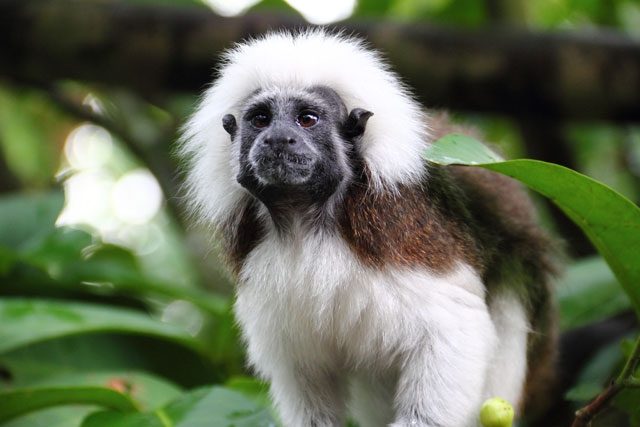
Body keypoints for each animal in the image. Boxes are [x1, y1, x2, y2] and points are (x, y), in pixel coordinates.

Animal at [178, 30, 556, 427]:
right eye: (261, 119)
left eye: (307, 119)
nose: (278, 139)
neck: (306, 223)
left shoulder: (403, 236)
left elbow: (456, 322)